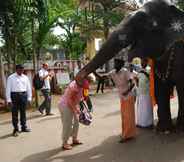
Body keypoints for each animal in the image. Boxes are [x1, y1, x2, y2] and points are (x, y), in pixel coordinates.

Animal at [76, 0, 184, 132]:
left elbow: (182, 87)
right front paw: (163, 130)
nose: (82, 80)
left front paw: (180, 128)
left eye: (143, 22)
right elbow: (160, 86)